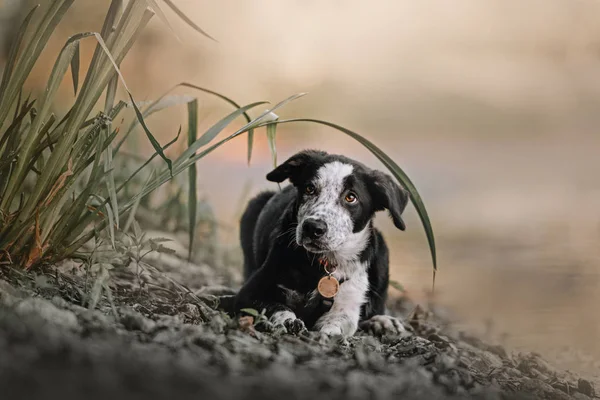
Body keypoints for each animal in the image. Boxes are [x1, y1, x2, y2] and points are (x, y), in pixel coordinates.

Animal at [232, 148, 410, 336]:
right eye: (310, 188)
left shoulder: (347, 304)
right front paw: (288, 320)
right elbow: (277, 307)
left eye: (351, 197)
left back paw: (383, 321)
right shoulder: (250, 293)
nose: (312, 228)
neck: (323, 266)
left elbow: (336, 323)